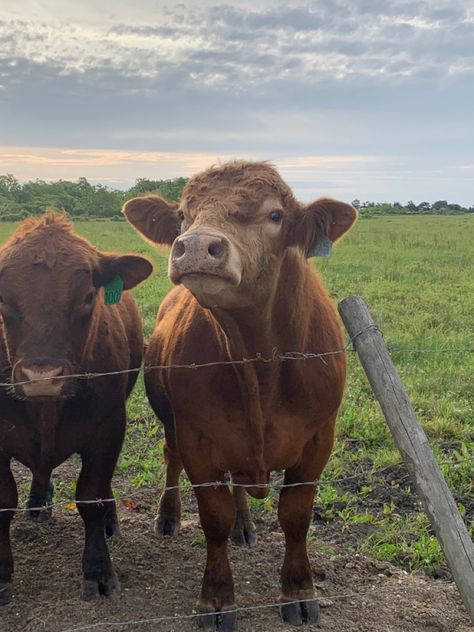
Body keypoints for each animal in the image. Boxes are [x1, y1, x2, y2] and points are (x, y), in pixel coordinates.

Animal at [0, 215, 152, 604]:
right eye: (2, 297)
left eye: (87, 296)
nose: (42, 377)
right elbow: (4, 500)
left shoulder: (108, 428)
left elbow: (91, 496)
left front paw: (98, 571)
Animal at [124, 162, 358, 628]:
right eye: (183, 215)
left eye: (274, 215)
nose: (196, 246)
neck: (259, 366)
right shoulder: (197, 438)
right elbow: (213, 517)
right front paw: (216, 598)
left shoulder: (319, 439)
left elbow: (295, 516)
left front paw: (299, 591)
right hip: (171, 423)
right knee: (171, 458)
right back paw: (168, 517)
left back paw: (245, 526)